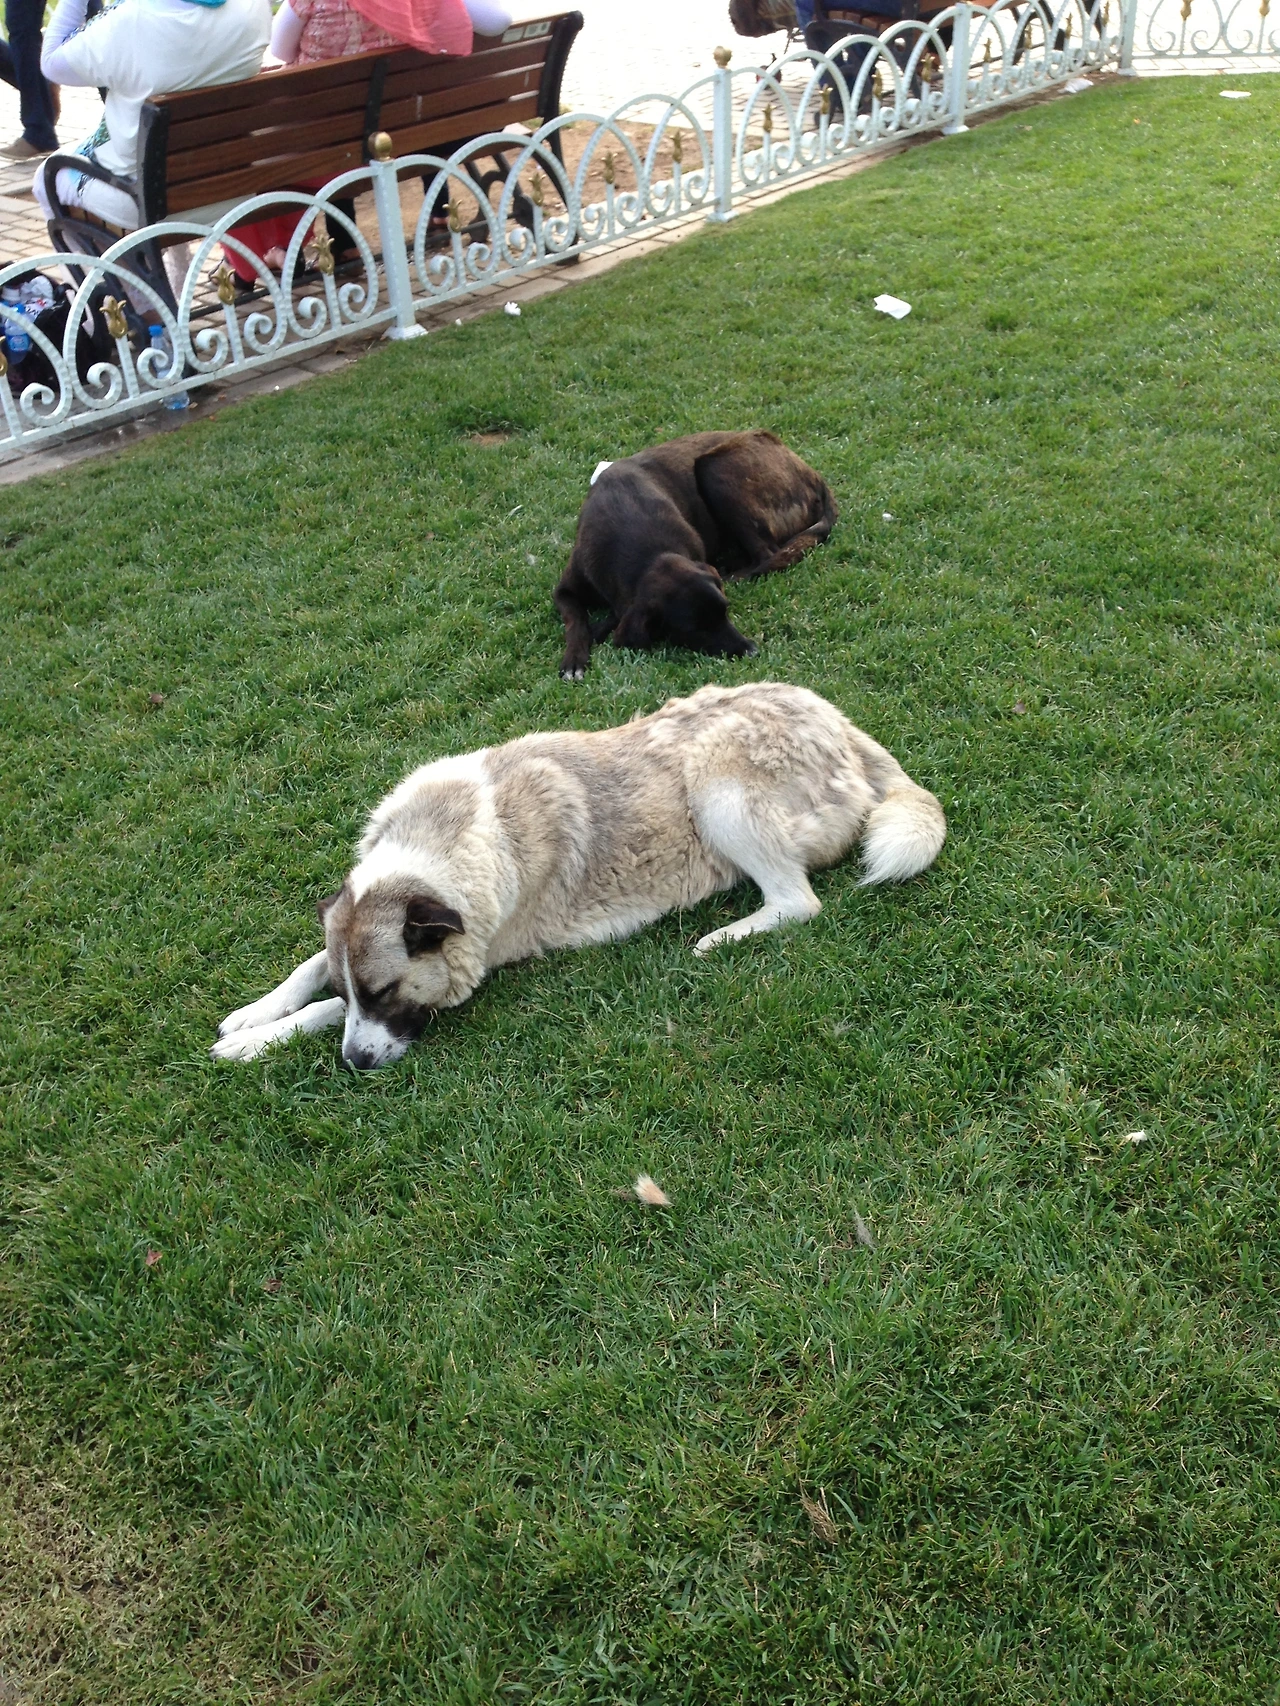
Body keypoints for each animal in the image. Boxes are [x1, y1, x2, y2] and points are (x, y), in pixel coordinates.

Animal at [212, 682, 944, 1071]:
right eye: (362, 987)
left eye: (386, 991)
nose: (355, 1064)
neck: (442, 841)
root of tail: (839, 722)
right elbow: (311, 969)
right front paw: (256, 1012)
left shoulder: (472, 956)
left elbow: (326, 1011)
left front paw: (254, 1043)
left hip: (717, 786)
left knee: (796, 900)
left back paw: (725, 936)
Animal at [553, 431, 838, 678]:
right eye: (693, 630)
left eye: (725, 611)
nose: (751, 652)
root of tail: (815, 478)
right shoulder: (564, 590)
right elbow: (576, 622)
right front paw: (575, 658)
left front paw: (600, 628)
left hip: (714, 468)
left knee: (767, 554)